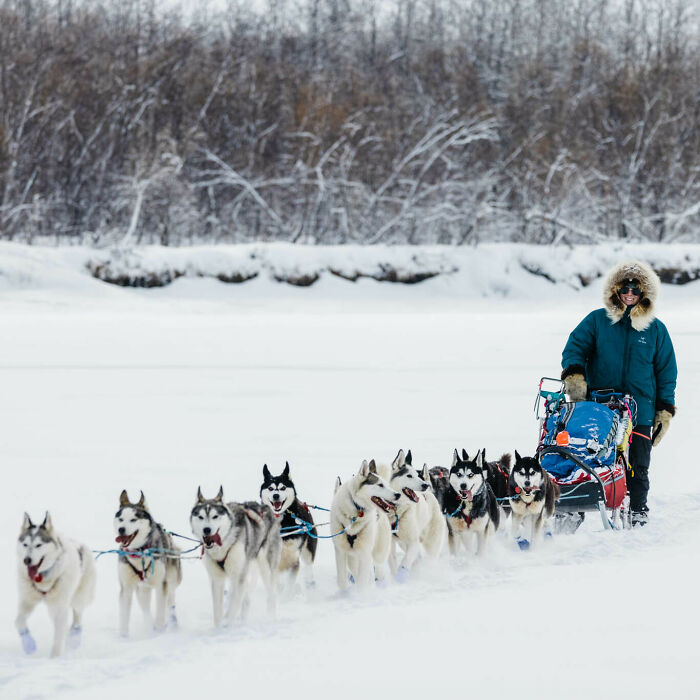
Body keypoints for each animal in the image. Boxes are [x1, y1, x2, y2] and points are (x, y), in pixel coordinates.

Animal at [15, 516, 95, 656]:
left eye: (38, 545)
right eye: (25, 544)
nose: (27, 560)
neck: (42, 578)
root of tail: (82, 546)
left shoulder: (59, 608)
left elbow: (58, 636)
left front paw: (55, 657)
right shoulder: (27, 601)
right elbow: (19, 621)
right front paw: (28, 644)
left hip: (77, 598)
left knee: (77, 617)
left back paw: (74, 638)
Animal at [113, 492, 182, 636]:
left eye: (133, 519)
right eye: (121, 519)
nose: (121, 529)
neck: (139, 552)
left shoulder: (161, 584)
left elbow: (160, 609)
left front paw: (159, 630)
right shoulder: (126, 587)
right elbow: (124, 615)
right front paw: (123, 637)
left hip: (172, 578)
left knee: (170, 599)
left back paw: (172, 622)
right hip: (142, 590)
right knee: (145, 608)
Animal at [191, 486, 282, 628]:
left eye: (215, 516)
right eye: (200, 517)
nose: (206, 529)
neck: (224, 544)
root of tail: (267, 508)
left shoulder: (239, 575)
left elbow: (233, 606)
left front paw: (228, 627)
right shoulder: (217, 578)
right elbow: (218, 611)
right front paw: (218, 629)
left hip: (265, 567)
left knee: (271, 594)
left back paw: (270, 618)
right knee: (246, 600)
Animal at [330, 460, 402, 592]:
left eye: (385, 484)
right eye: (380, 485)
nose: (398, 494)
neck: (357, 510)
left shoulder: (364, 552)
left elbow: (362, 581)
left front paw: (362, 595)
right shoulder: (340, 551)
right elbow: (342, 580)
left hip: (378, 552)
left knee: (378, 569)